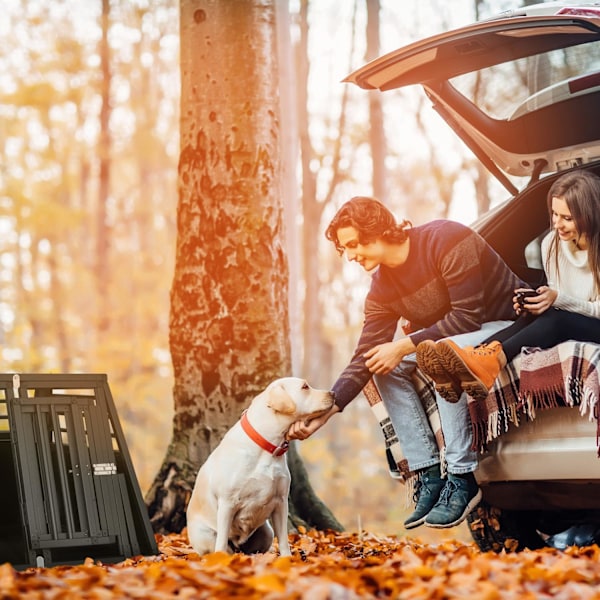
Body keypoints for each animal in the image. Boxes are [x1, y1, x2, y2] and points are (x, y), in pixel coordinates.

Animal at [186, 378, 332, 556]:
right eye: (305, 387)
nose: (333, 393)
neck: (268, 446)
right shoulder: (227, 503)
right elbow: (221, 542)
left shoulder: (281, 501)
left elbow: (283, 540)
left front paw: (287, 558)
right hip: (206, 535)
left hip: (266, 532)